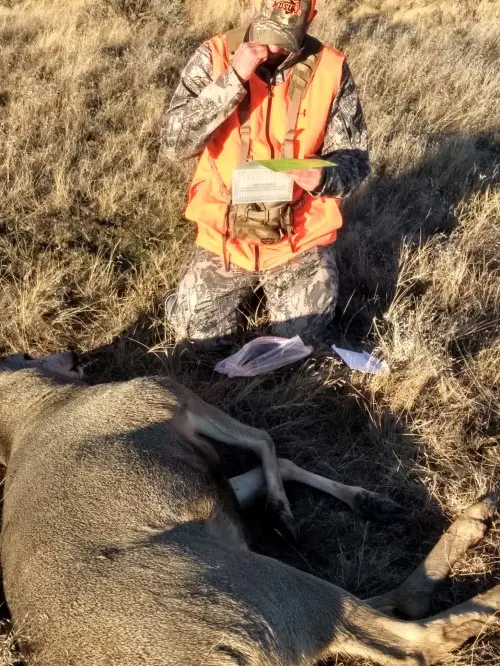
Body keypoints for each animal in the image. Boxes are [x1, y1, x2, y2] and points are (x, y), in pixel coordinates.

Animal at [0, 350, 498, 666]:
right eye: (25, 353)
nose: (71, 351)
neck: (37, 409)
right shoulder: (166, 393)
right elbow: (267, 440)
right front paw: (284, 512)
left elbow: (269, 465)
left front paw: (362, 501)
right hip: (257, 594)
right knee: (417, 642)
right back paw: (486, 576)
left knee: (391, 613)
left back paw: (464, 519)